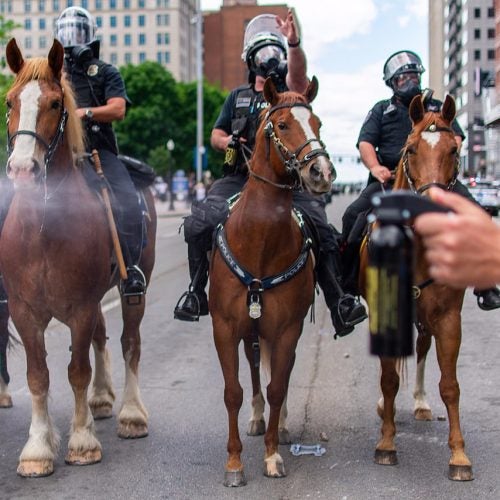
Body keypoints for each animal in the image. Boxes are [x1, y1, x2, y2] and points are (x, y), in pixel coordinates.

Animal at [0, 38, 156, 476]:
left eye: (55, 103)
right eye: (10, 101)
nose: (22, 169)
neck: (44, 226)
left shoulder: (81, 306)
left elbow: (77, 371)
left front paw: (82, 440)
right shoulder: (23, 310)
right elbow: (39, 375)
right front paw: (38, 447)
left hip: (132, 288)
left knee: (129, 342)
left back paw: (130, 414)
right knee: (103, 338)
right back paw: (102, 399)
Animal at [209, 78, 334, 488]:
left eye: (318, 123)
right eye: (282, 125)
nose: (321, 172)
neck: (261, 240)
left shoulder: (286, 329)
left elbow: (278, 387)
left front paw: (272, 453)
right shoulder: (225, 327)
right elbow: (233, 391)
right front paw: (234, 463)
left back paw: (278, 424)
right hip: (248, 328)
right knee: (251, 369)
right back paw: (256, 417)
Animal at [358, 94, 470, 480]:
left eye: (455, 150)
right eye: (410, 149)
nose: (432, 210)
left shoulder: (449, 316)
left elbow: (450, 385)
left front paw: (458, 455)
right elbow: (389, 379)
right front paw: (386, 443)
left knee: (422, 346)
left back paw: (420, 401)